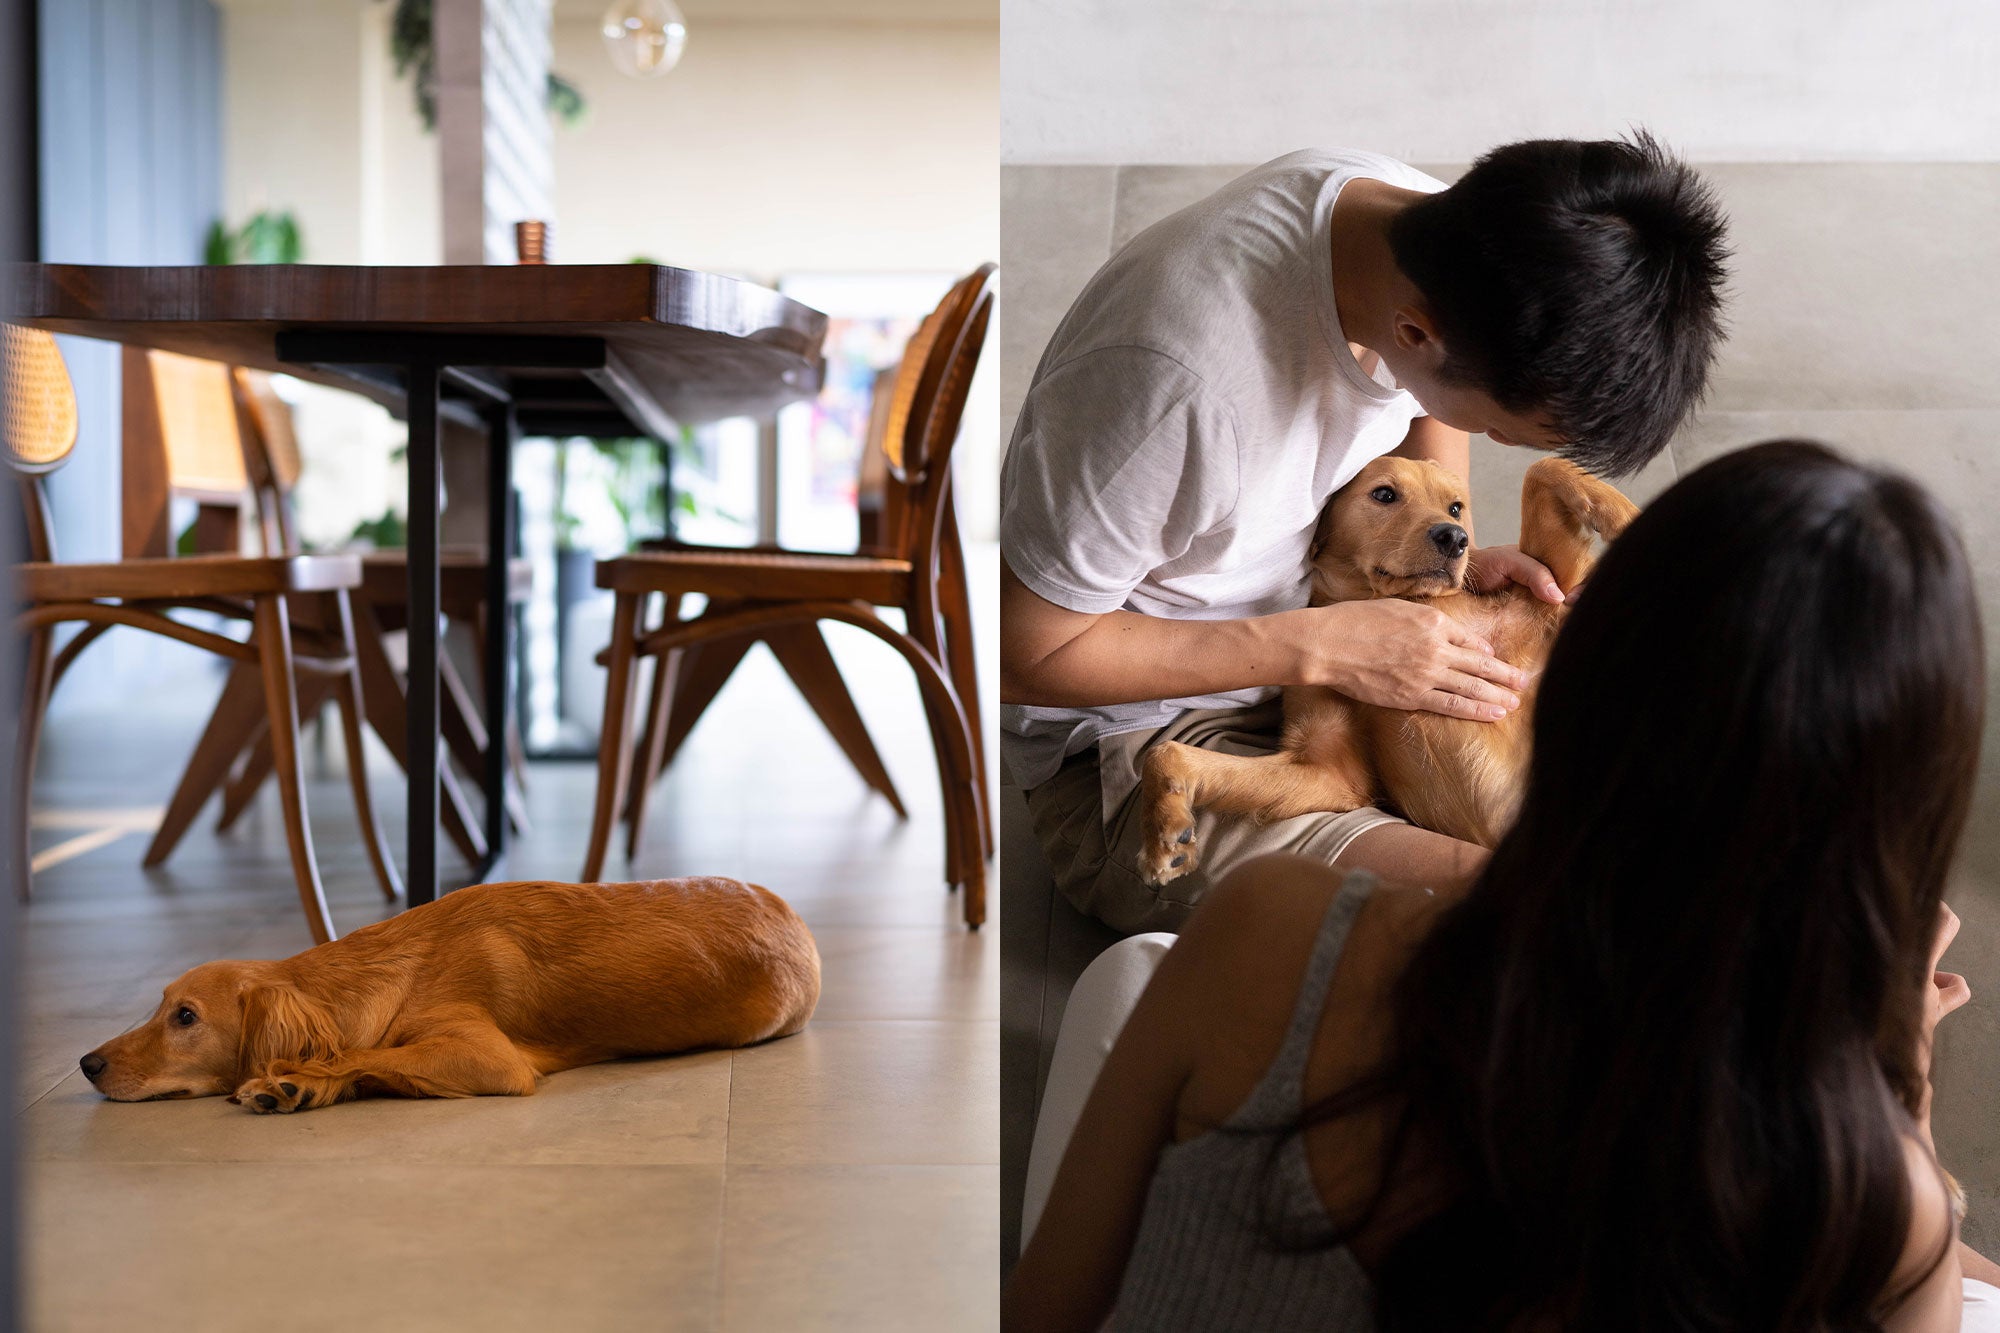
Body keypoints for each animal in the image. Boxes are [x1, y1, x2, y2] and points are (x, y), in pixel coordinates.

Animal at [74, 872, 816, 1112]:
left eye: (186, 1016)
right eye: (158, 1004)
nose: (86, 1062)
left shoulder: (491, 1056)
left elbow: (368, 1054)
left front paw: (298, 1080)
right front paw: (306, 1084)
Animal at [1152, 452, 1632, 876]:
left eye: (1455, 508)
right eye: (1384, 494)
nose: (1455, 537)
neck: (1394, 605)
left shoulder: (1549, 604)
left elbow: (1543, 467)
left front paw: (1622, 514)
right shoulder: (1327, 770)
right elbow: (1168, 752)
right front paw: (1164, 828)